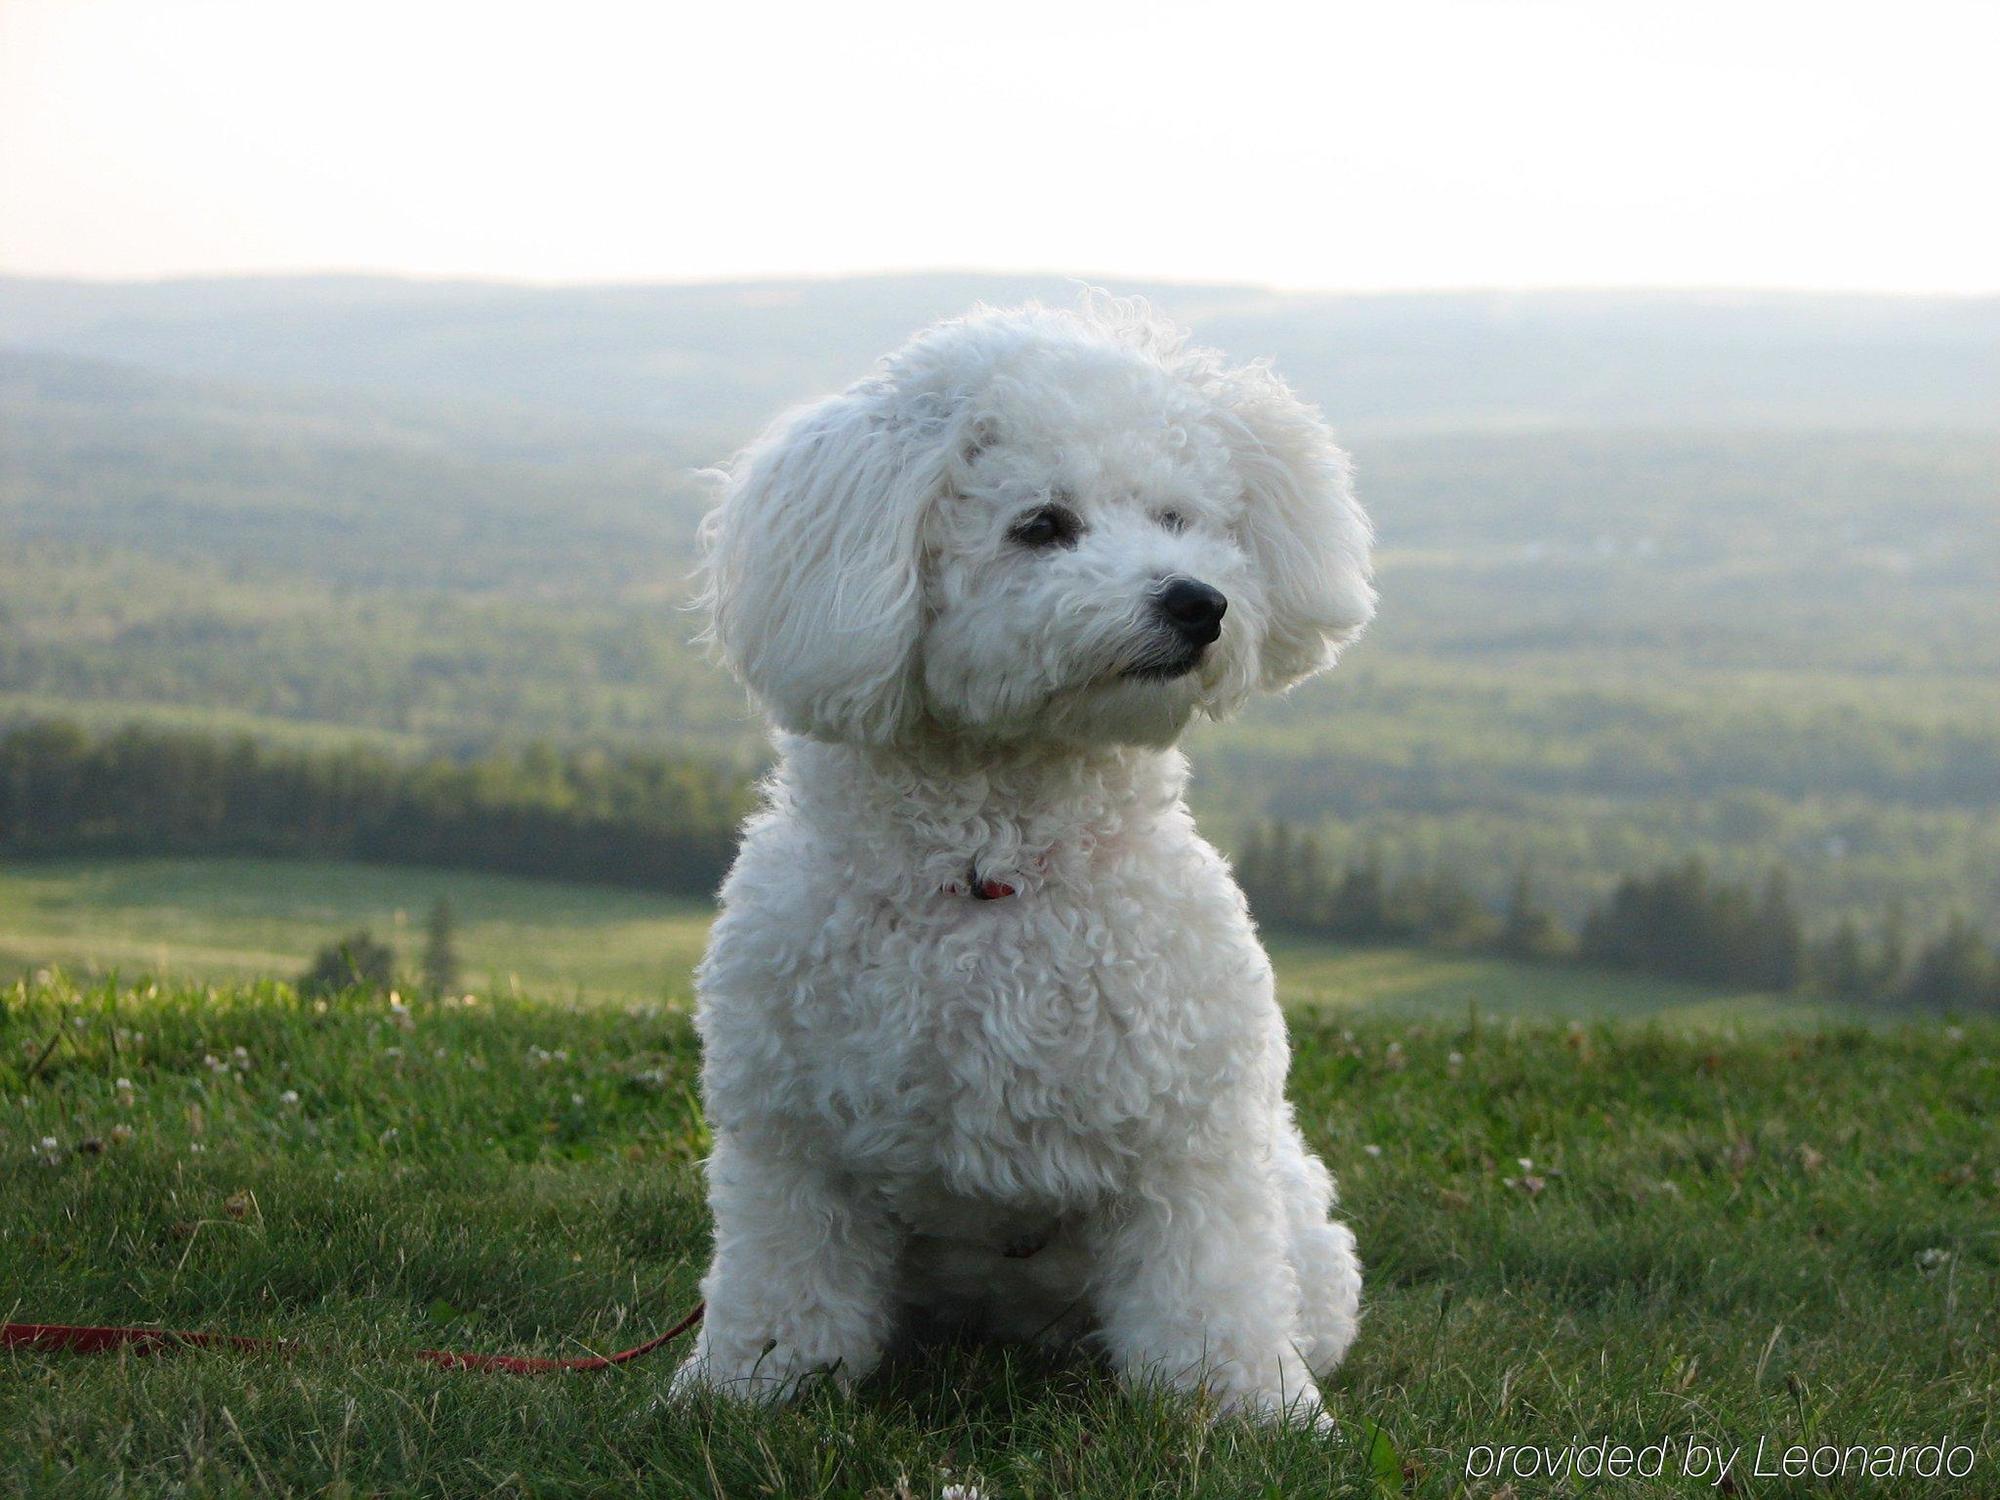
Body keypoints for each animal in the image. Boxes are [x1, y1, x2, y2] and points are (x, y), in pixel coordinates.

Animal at [680, 296, 1368, 1432]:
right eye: (1041, 525)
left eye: (1178, 518)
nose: (1198, 602)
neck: (992, 869)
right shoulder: (793, 1149)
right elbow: (786, 1291)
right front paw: (746, 1388)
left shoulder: (1190, 1150)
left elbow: (1207, 1296)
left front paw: (1247, 1413)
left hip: (1296, 1223)